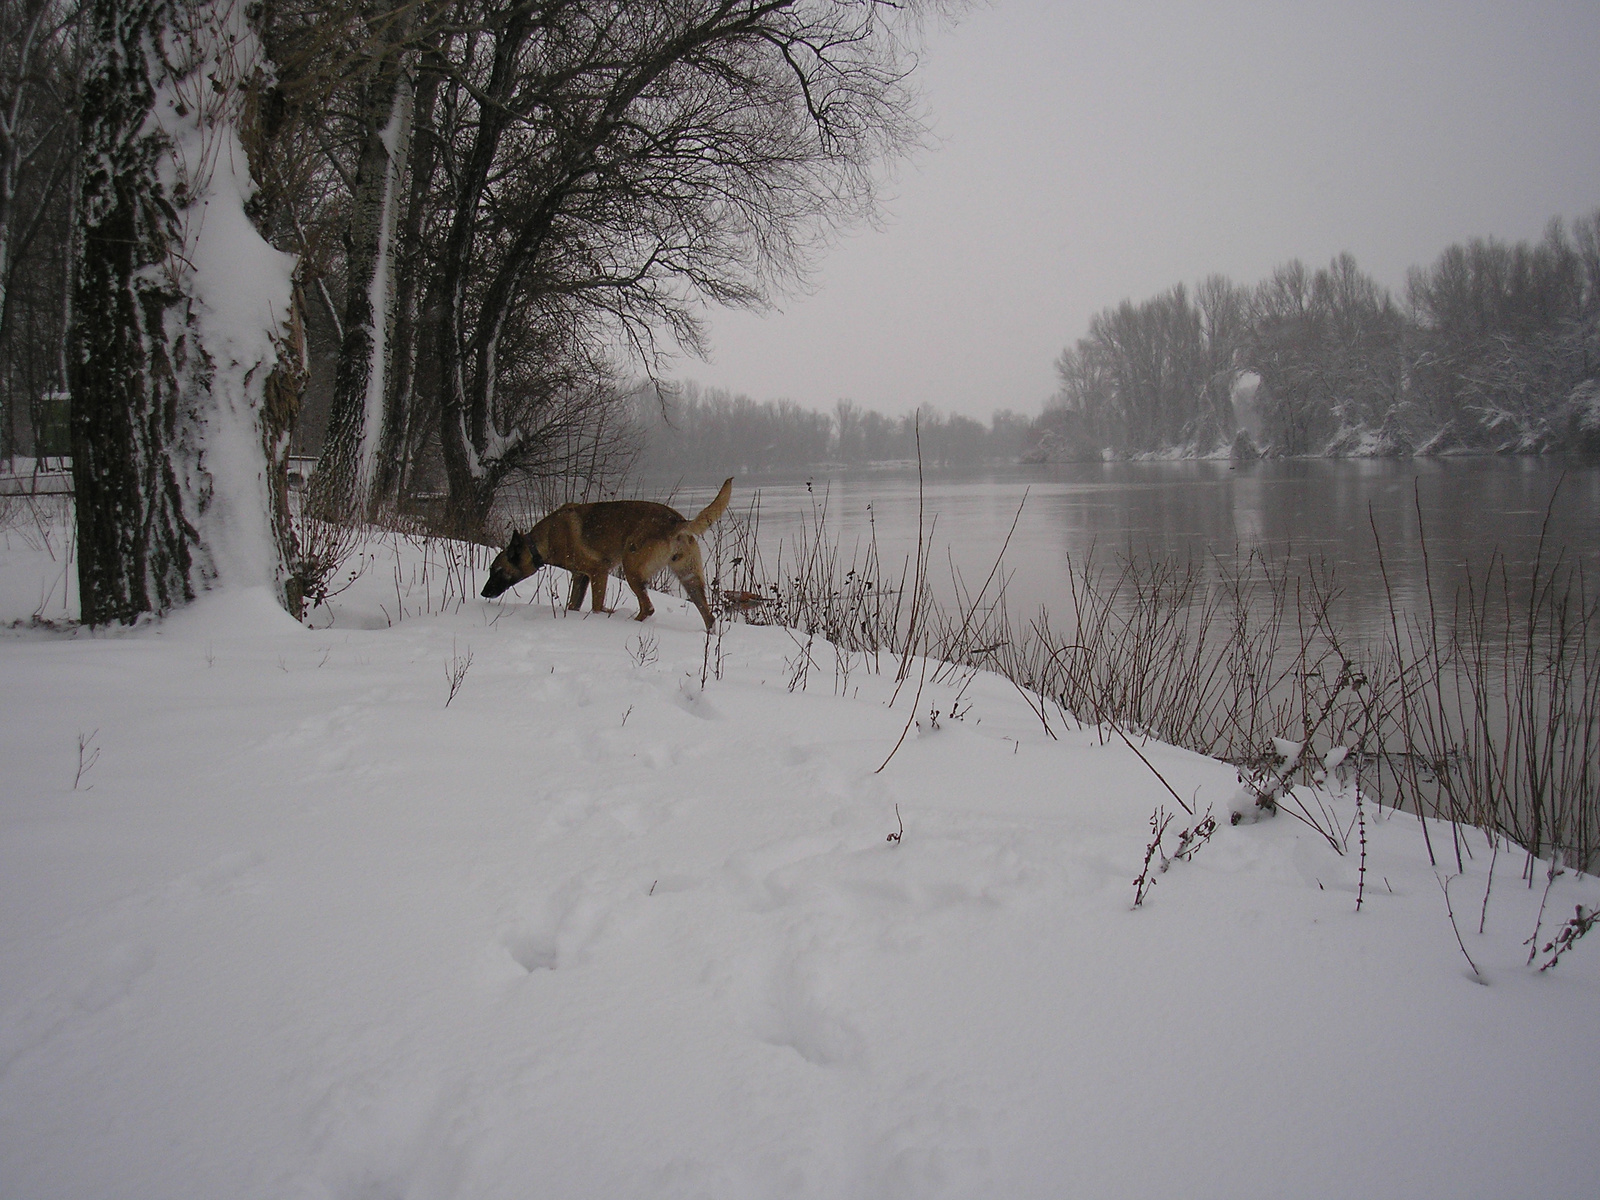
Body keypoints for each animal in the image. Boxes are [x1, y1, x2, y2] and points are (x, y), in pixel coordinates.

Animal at [480, 476, 736, 630]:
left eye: (497, 570)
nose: (483, 593)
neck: (540, 542)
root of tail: (678, 522)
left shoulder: (597, 572)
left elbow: (596, 605)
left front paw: (602, 615)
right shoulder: (580, 577)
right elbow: (573, 604)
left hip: (632, 570)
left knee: (648, 607)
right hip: (689, 578)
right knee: (708, 616)